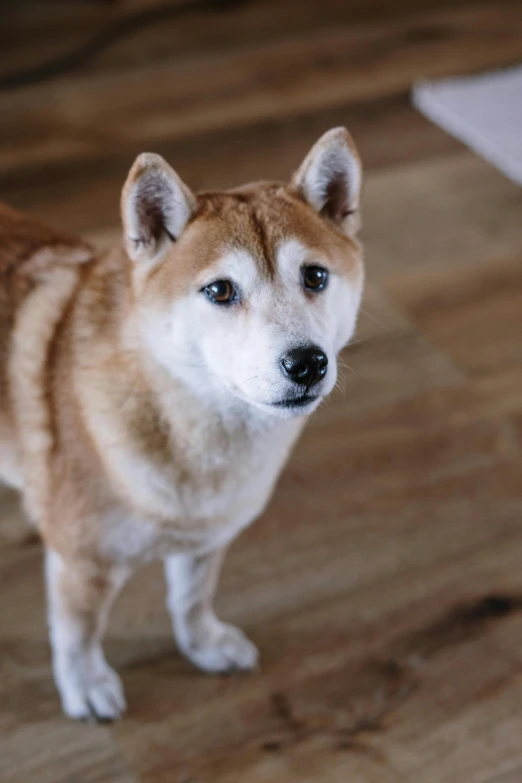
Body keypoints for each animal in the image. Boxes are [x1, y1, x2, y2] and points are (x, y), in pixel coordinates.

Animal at [0, 129, 364, 724]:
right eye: (220, 291)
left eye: (315, 276)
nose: (307, 363)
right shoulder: (83, 559)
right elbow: (79, 634)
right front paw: (85, 686)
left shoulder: (207, 534)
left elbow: (191, 600)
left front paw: (203, 646)